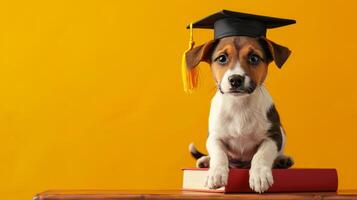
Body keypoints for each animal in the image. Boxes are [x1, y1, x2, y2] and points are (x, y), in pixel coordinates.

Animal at [186, 36, 292, 194]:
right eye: (222, 58)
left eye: (254, 58)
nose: (235, 79)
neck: (239, 105)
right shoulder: (214, 137)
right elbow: (219, 154)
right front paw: (216, 173)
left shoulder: (274, 136)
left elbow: (262, 154)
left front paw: (260, 175)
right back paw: (205, 160)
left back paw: (282, 160)